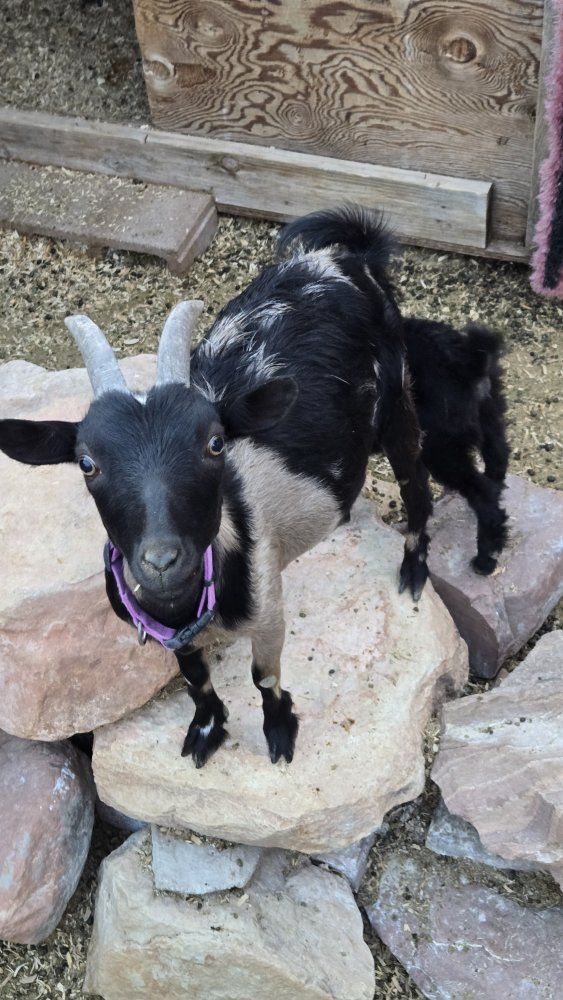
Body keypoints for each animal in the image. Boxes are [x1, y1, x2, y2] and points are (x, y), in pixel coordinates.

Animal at [0, 206, 433, 768]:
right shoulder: (173, 635)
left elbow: (264, 676)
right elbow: (194, 677)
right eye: (87, 463)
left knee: (416, 480)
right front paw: (207, 728)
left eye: (214, 443)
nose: (163, 561)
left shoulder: (268, 606)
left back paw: (414, 570)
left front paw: (280, 732)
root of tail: (345, 256)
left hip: (397, 395)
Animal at [402, 317, 509, 574]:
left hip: (441, 451)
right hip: (490, 414)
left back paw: (485, 559)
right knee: (498, 458)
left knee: (483, 494)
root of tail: (467, 363)